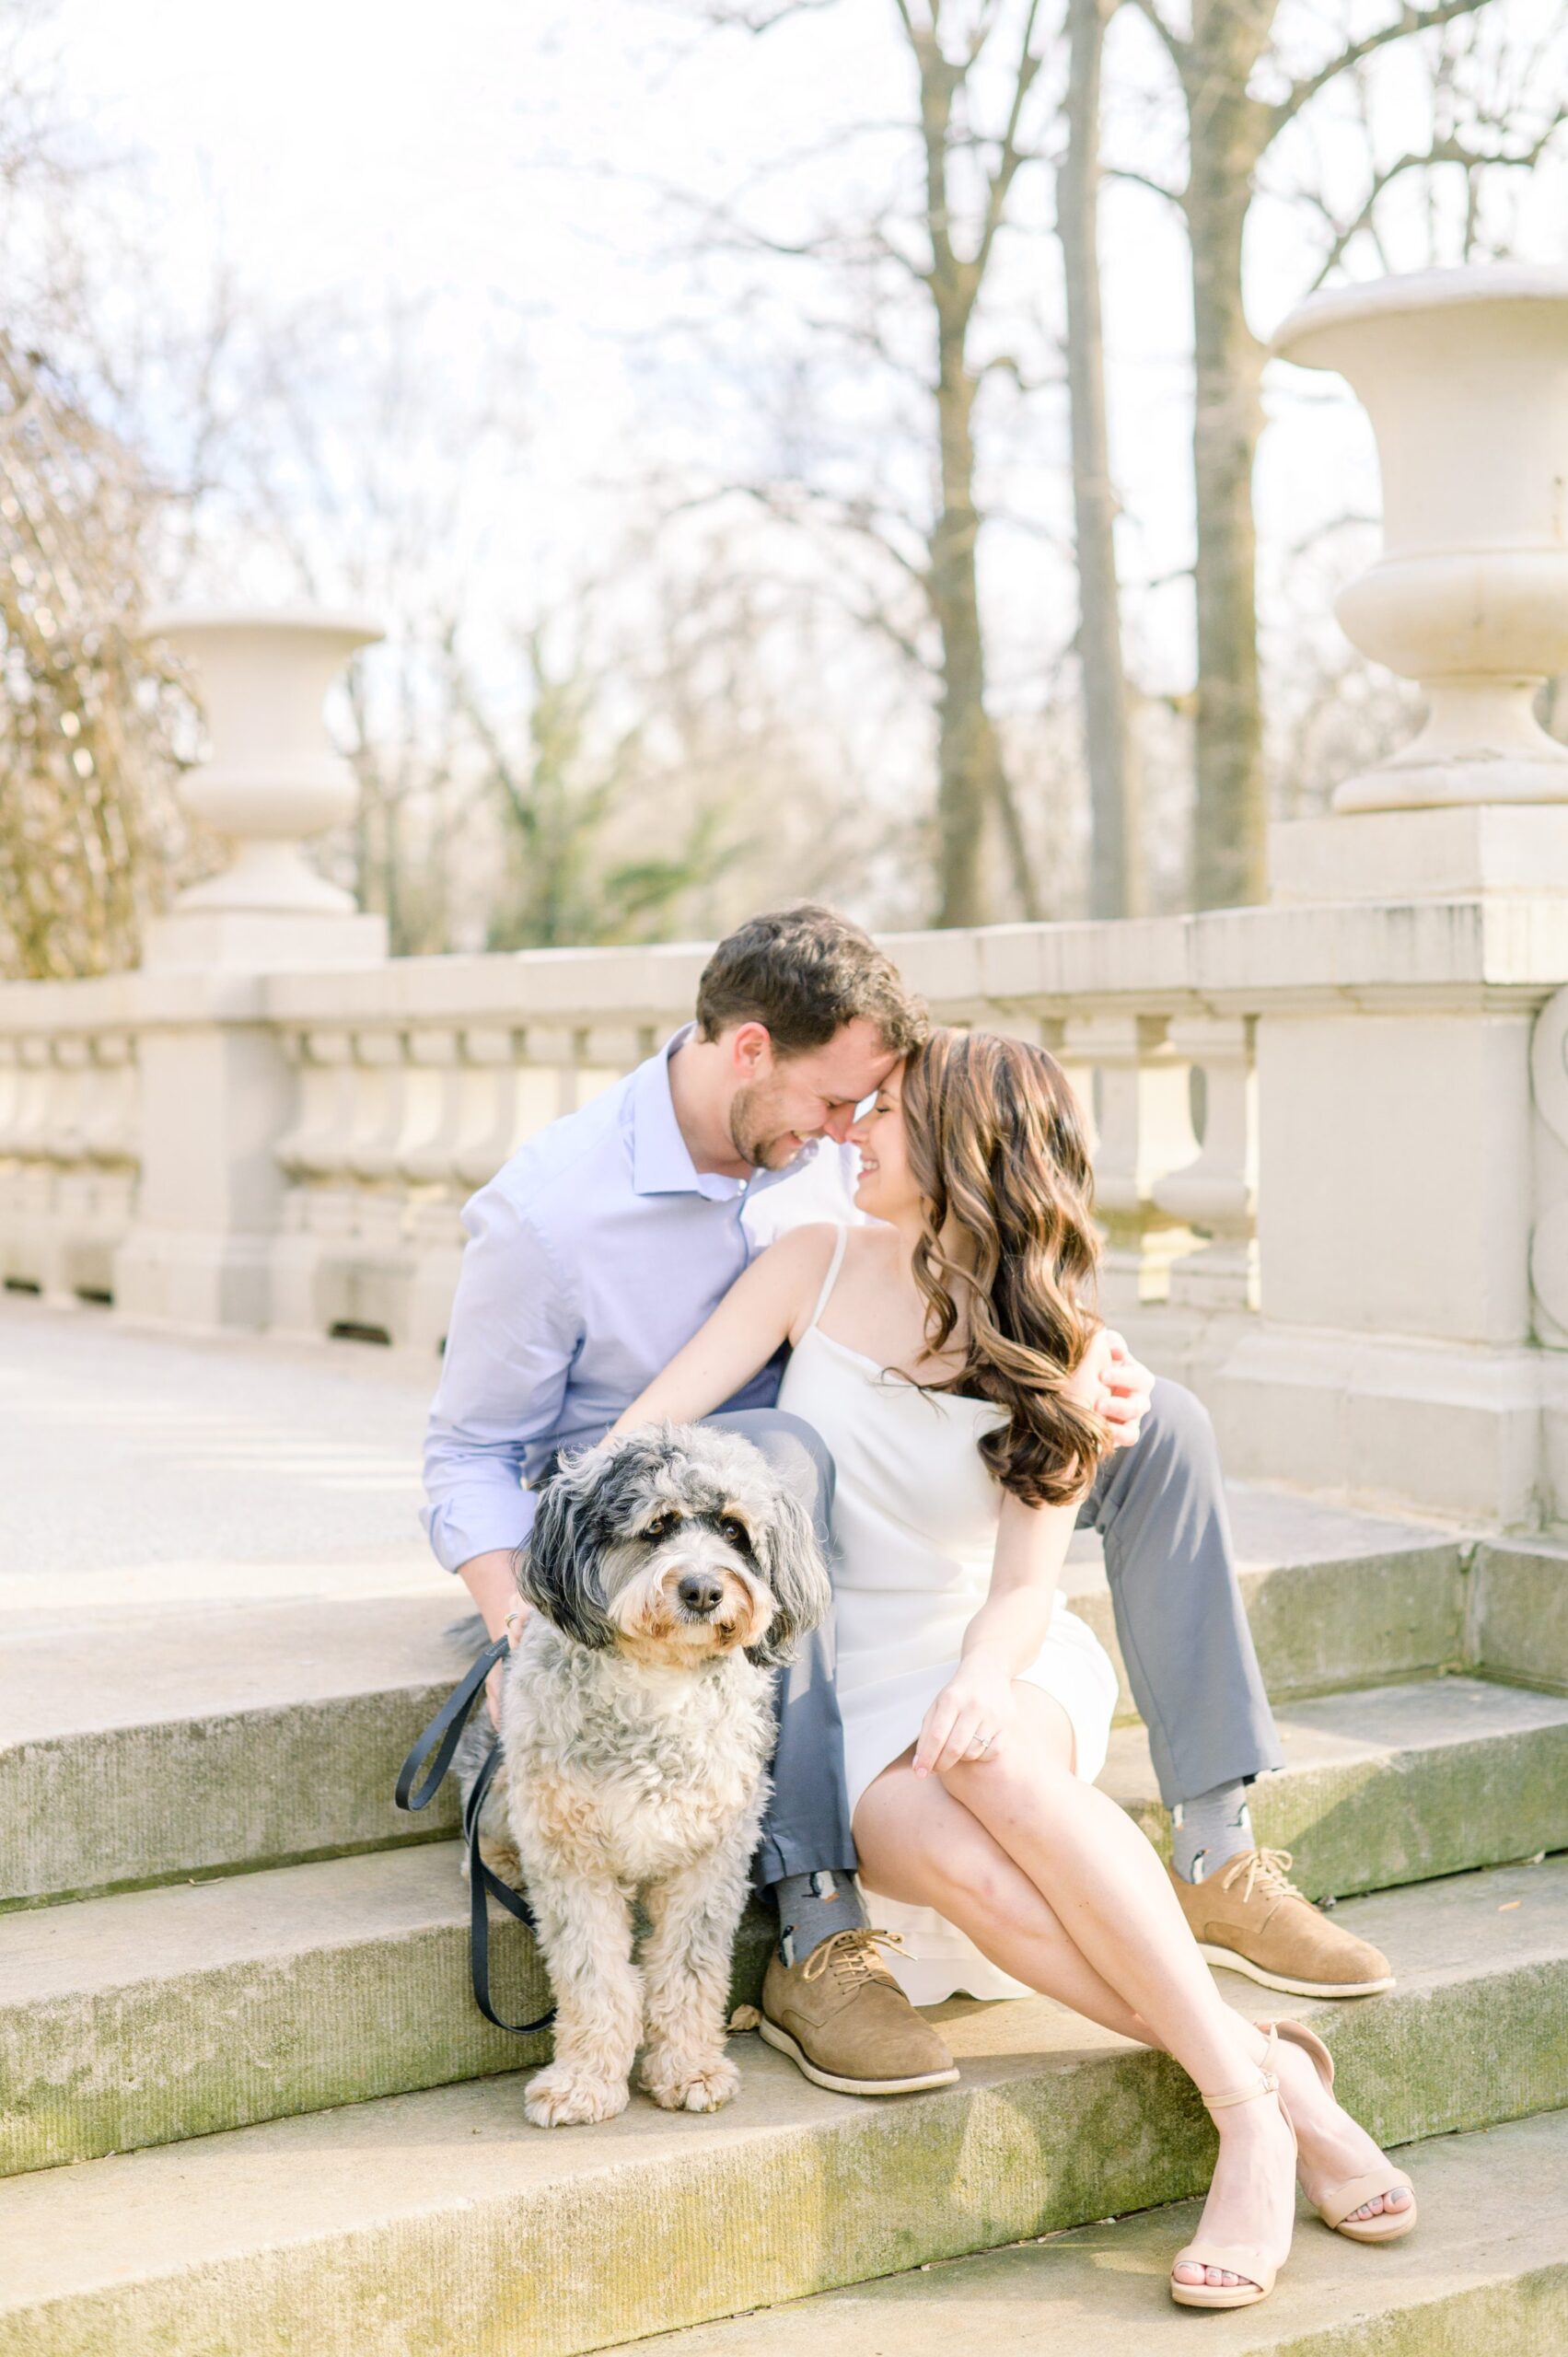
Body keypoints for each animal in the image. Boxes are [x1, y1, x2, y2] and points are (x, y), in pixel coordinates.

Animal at [450, 1414, 830, 2140]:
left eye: (734, 1531)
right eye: (657, 1526)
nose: (703, 1589)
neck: (658, 1684)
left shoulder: (710, 1860)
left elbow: (687, 1972)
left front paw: (688, 2069)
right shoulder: (573, 1860)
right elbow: (593, 1978)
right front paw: (583, 2082)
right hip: (505, 1785)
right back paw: (496, 1864)